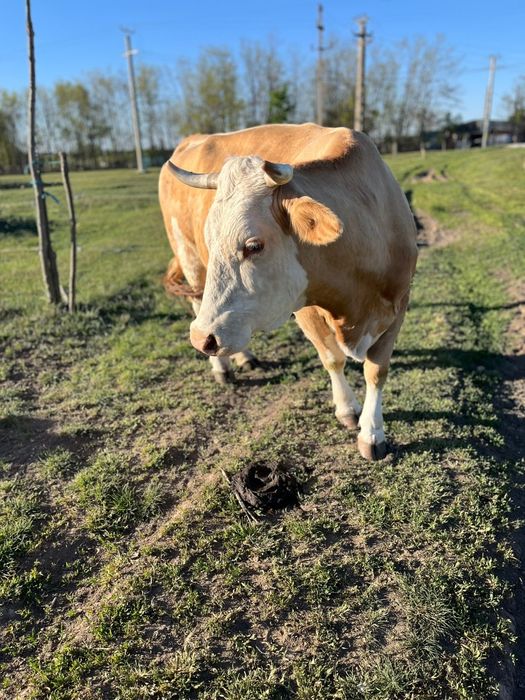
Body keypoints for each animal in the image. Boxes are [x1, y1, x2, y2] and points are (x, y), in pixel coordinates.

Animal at [158, 123, 418, 460]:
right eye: (210, 238)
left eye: (253, 245)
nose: (202, 338)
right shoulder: (305, 307)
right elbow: (332, 359)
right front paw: (348, 409)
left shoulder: (398, 304)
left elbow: (377, 370)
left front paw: (372, 434)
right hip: (187, 255)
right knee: (196, 300)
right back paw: (222, 368)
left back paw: (243, 356)